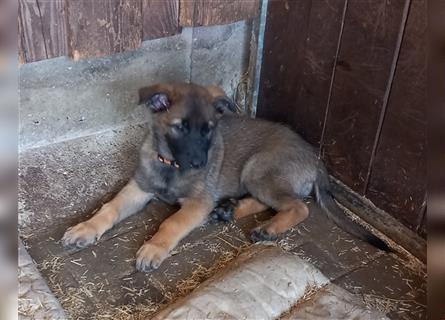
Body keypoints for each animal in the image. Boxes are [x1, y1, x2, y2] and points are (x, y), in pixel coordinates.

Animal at [62, 82, 388, 270]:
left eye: (208, 129)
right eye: (180, 127)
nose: (200, 163)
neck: (171, 165)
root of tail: (317, 158)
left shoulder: (198, 203)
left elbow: (172, 222)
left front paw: (154, 248)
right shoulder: (139, 188)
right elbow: (110, 208)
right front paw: (86, 228)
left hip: (257, 167)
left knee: (298, 206)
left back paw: (267, 228)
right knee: (277, 201)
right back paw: (230, 211)